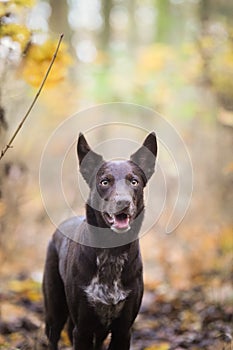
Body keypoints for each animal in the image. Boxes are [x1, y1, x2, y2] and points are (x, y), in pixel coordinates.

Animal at [42, 132, 157, 350]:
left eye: (134, 181)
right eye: (105, 182)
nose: (123, 203)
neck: (112, 251)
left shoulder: (123, 330)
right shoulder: (83, 329)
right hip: (55, 307)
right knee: (53, 336)